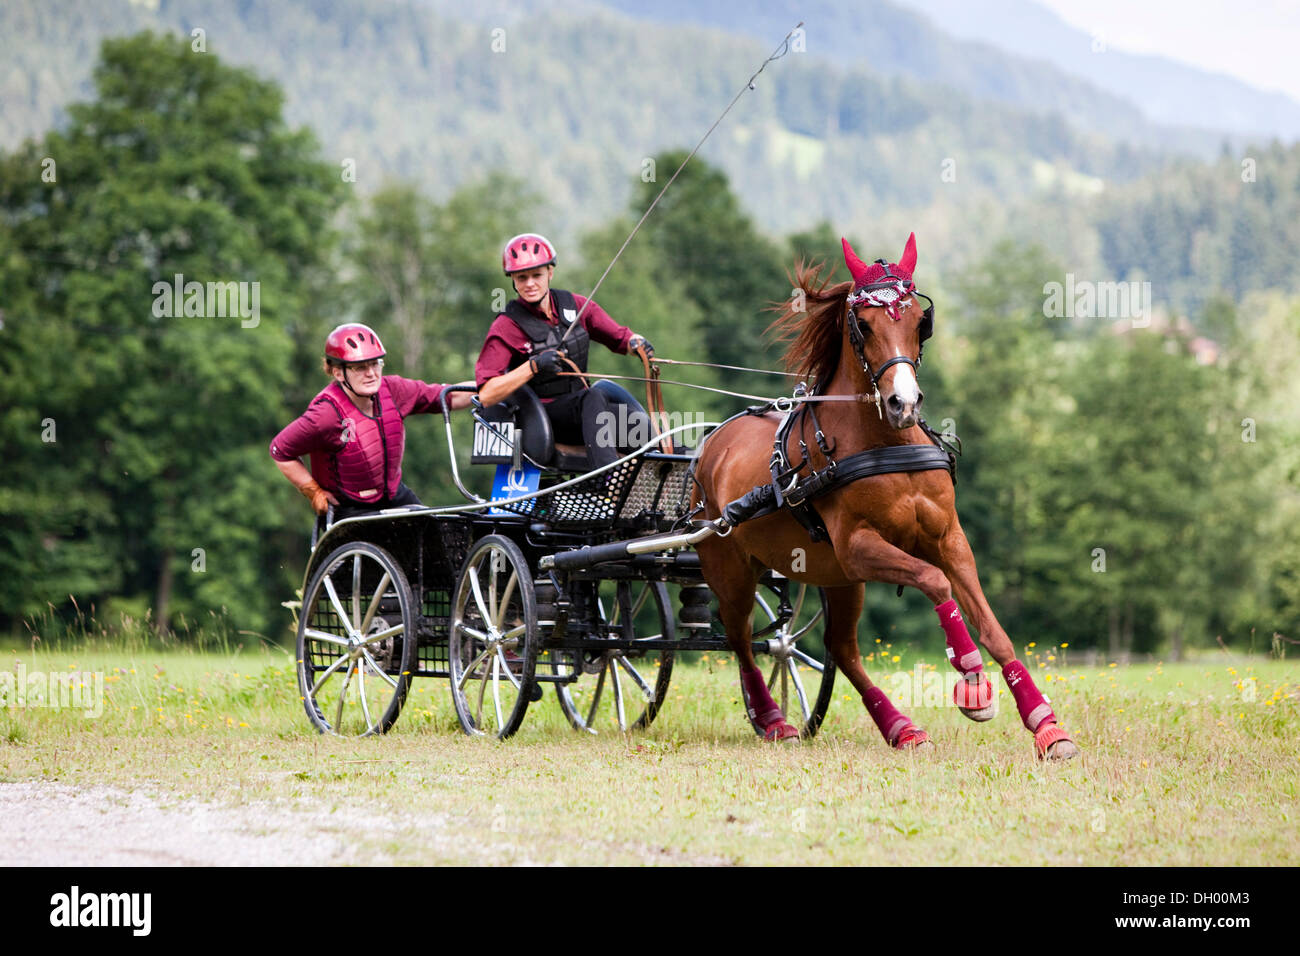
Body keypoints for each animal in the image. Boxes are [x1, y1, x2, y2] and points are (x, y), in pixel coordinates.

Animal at [690, 233, 1079, 759]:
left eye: (918, 320)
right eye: (865, 324)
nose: (904, 403)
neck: (885, 446)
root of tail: (713, 441)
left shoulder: (948, 539)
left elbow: (994, 630)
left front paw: (1045, 724)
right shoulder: (859, 549)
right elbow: (935, 581)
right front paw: (973, 683)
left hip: (834, 577)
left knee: (840, 648)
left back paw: (899, 727)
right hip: (730, 567)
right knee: (742, 639)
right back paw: (772, 719)